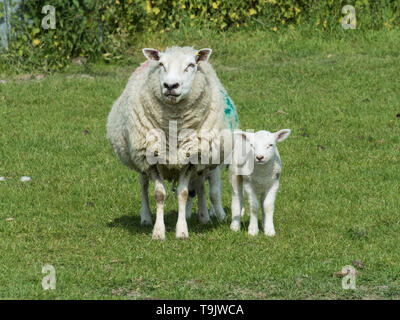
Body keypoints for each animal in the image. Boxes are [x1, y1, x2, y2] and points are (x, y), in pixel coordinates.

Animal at [106, 45, 238, 240]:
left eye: (191, 65)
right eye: (161, 64)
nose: (170, 86)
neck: (174, 127)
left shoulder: (192, 158)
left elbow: (183, 193)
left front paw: (182, 230)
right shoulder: (150, 158)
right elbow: (159, 194)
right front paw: (158, 232)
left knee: (199, 185)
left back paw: (203, 217)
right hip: (140, 160)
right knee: (143, 186)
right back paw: (146, 217)